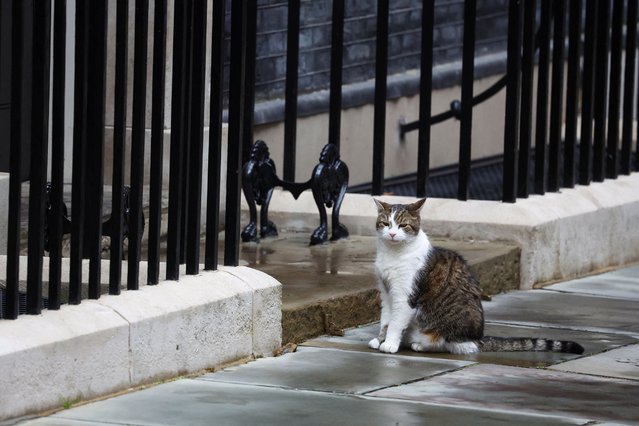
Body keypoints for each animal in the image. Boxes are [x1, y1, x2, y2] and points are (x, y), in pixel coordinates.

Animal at [370, 199, 584, 356]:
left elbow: (396, 322)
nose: (392, 233)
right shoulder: (386, 291)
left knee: (453, 345)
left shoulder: (405, 295)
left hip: (444, 327)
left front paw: (389, 344)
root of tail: (477, 338)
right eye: (386, 223)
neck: (393, 253)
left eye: (403, 225)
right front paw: (380, 340)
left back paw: (421, 344)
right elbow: (386, 319)